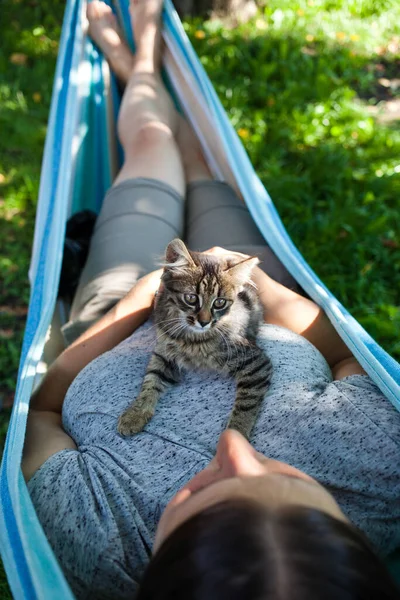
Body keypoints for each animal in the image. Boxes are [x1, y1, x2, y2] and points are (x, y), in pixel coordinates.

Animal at [116, 239, 272, 440]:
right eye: (191, 298)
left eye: (219, 302)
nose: (204, 322)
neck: (190, 339)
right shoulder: (164, 354)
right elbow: (150, 382)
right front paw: (134, 414)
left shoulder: (256, 362)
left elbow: (247, 404)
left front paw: (236, 435)